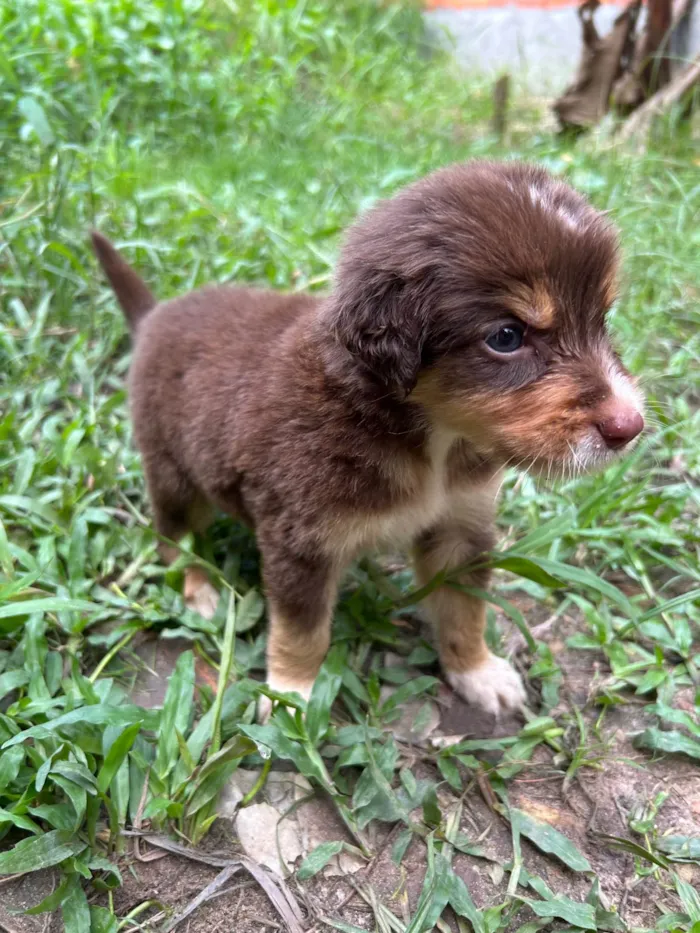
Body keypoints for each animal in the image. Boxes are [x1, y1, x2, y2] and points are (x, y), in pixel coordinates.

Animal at [93, 158, 644, 712]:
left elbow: (465, 611)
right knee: (173, 536)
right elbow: (302, 633)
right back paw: (198, 588)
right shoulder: (300, 543)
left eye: (602, 320)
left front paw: (476, 671)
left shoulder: (460, 527)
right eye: (506, 337)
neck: (429, 438)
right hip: (173, 473)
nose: (630, 426)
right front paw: (290, 697)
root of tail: (155, 315)